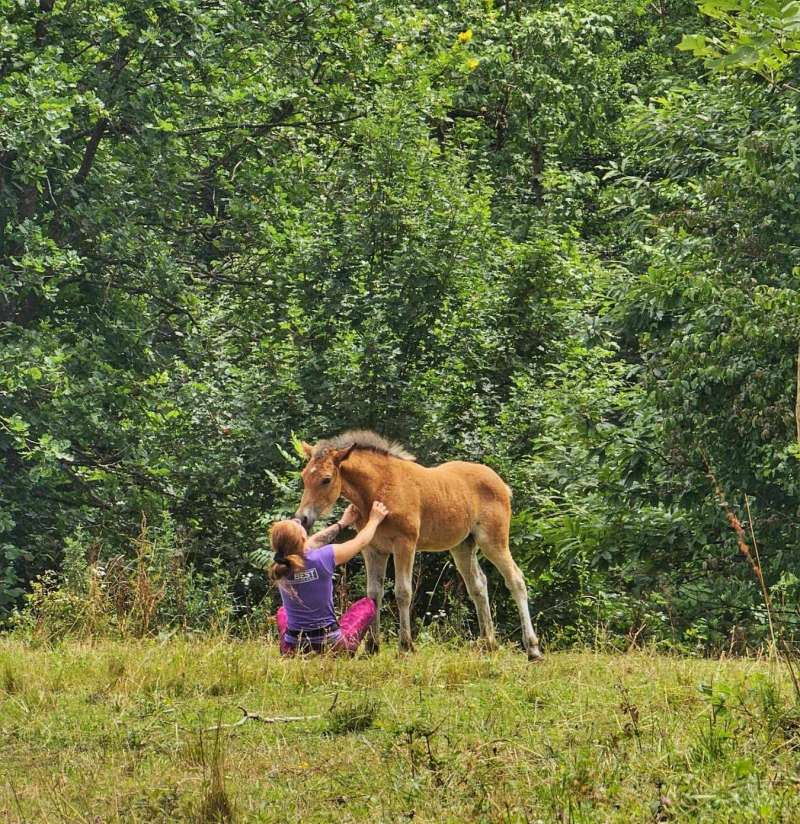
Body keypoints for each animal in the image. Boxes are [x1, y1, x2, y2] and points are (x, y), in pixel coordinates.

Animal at [294, 428, 544, 660]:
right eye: (304, 476)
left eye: (326, 479)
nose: (302, 518)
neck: (380, 487)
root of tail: (501, 483)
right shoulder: (372, 550)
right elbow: (374, 594)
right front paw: (372, 647)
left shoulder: (405, 544)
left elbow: (403, 592)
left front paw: (406, 646)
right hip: (463, 546)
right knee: (478, 585)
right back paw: (488, 644)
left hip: (493, 540)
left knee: (515, 579)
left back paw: (533, 649)